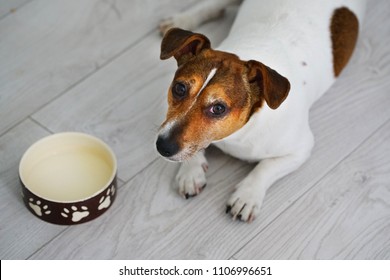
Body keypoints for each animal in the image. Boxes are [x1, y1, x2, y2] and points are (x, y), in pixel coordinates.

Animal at [155, 0, 366, 223]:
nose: (163, 146)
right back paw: (183, 18)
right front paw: (191, 171)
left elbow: (265, 167)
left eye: (219, 108)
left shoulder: (300, 149)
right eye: (179, 88)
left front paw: (247, 196)